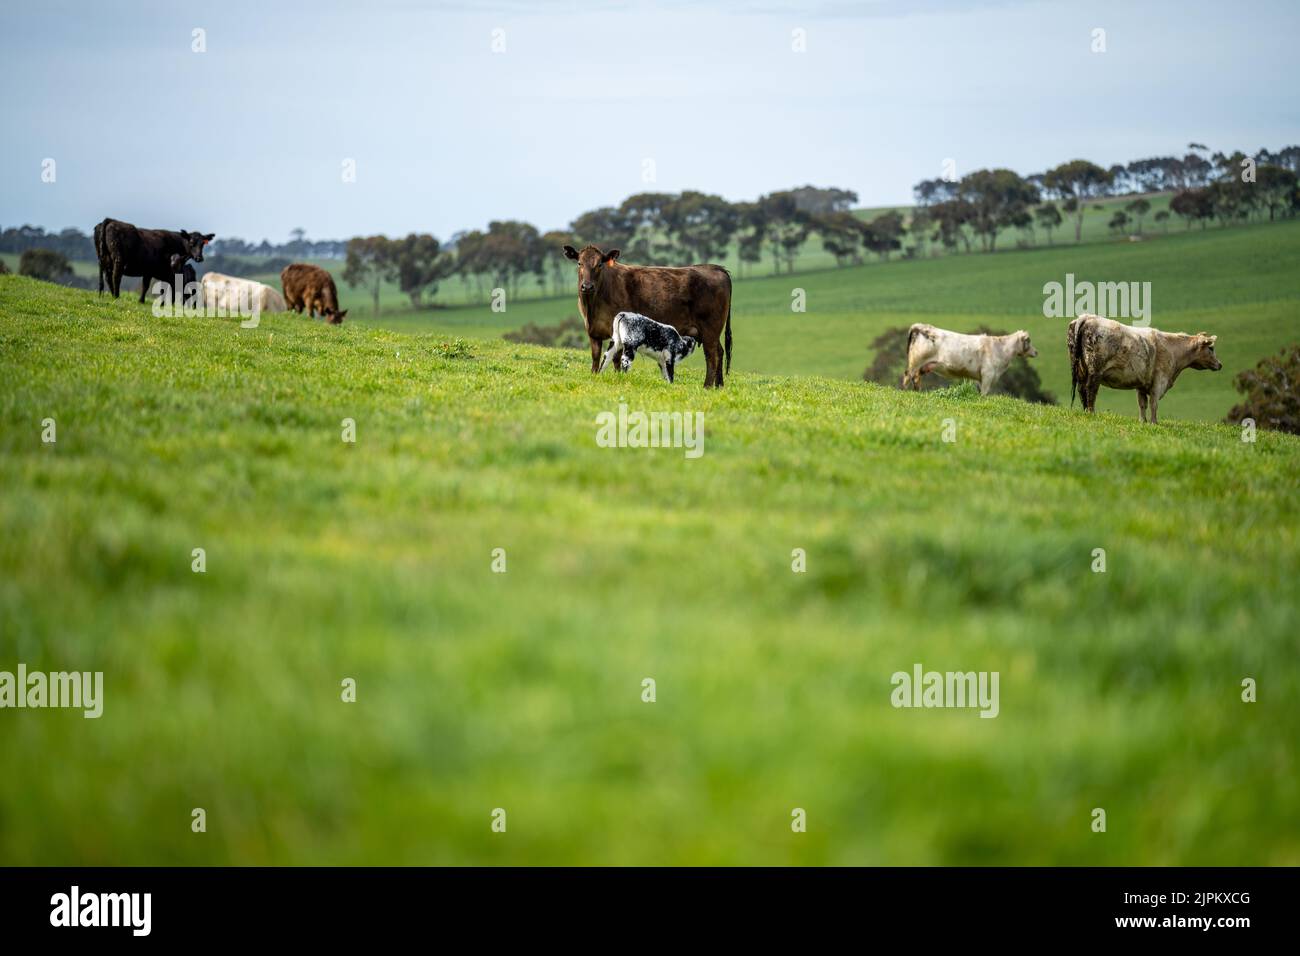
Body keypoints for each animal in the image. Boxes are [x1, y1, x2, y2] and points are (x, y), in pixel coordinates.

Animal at [562, 244, 732, 387]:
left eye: (599, 264)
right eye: (579, 263)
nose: (587, 286)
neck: (592, 308)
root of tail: (715, 268)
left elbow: (616, 359)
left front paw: (618, 378)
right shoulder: (593, 332)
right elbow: (596, 357)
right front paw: (594, 376)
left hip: (710, 329)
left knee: (712, 356)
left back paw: (707, 387)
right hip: (711, 332)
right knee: (720, 351)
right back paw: (719, 386)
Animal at [903, 324, 1038, 394]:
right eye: (1029, 341)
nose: (1036, 352)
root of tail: (921, 326)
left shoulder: (980, 377)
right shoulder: (988, 374)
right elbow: (984, 393)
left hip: (921, 366)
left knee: (915, 378)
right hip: (916, 361)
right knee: (908, 376)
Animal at [1068, 313, 1221, 423]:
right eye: (1211, 348)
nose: (1220, 364)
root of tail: (1087, 317)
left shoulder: (1141, 384)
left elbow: (1142, 404)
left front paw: (1143, 421)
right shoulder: (1159, 382)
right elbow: (1154, 403)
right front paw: (1154, 422)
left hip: (1081, 369)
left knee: (1081, 390)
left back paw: (1085, 412)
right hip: (1095, 370)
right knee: (1090, 391)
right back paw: (1091, 413)